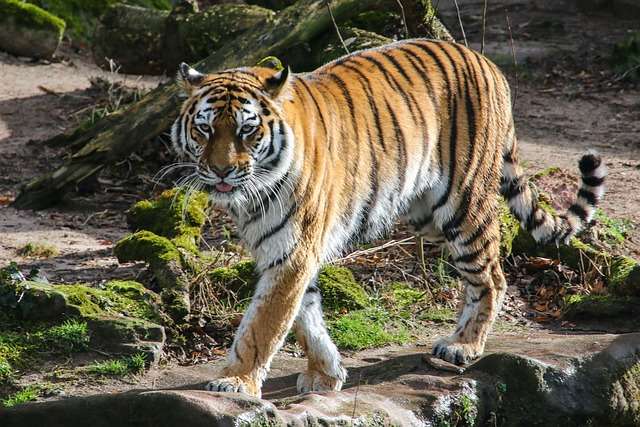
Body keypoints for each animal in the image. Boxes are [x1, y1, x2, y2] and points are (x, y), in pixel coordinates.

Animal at [170, 38, 604, 400]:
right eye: (204, 129)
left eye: (247, 130)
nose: (221, 172)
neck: (253, 193)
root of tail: (485, 62)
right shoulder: (286, 251)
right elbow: (305, 315)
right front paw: (326, 373)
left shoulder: (291, 250)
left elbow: (264, 324)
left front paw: (235, 380)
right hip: (426, 215)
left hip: (463, 205)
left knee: (492, 277)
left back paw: (463, 345)